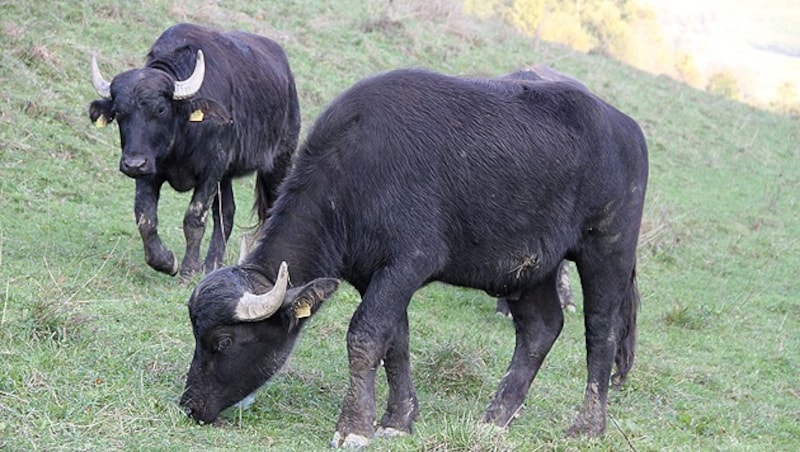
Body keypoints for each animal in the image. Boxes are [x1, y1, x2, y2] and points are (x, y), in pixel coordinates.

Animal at [88, 23, 300, 278]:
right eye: (119, 112)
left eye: (161, 109)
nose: (132, 164)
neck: (180, 141)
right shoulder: (149, 171)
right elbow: (145, 218)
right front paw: (166, 261)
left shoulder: (211, 170)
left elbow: (194, 218)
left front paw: (189, 269)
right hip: (225, 177)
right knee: (226, 213)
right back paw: (212, 265)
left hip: (279, 161)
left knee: (269, 207)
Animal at [178, 65, 648, 446]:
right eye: (197, 335)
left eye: (223, 341)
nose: (189, 404)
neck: (354, 173)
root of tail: (628, 130)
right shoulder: (374, 275)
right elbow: (395, 342)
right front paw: (398, 419)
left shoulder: (408, 263)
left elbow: (366, 336)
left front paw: (354, 427)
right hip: (531, 268)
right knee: (540, 329)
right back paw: (496, 417)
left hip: (607, 249)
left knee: (601, 332)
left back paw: (588, 426)